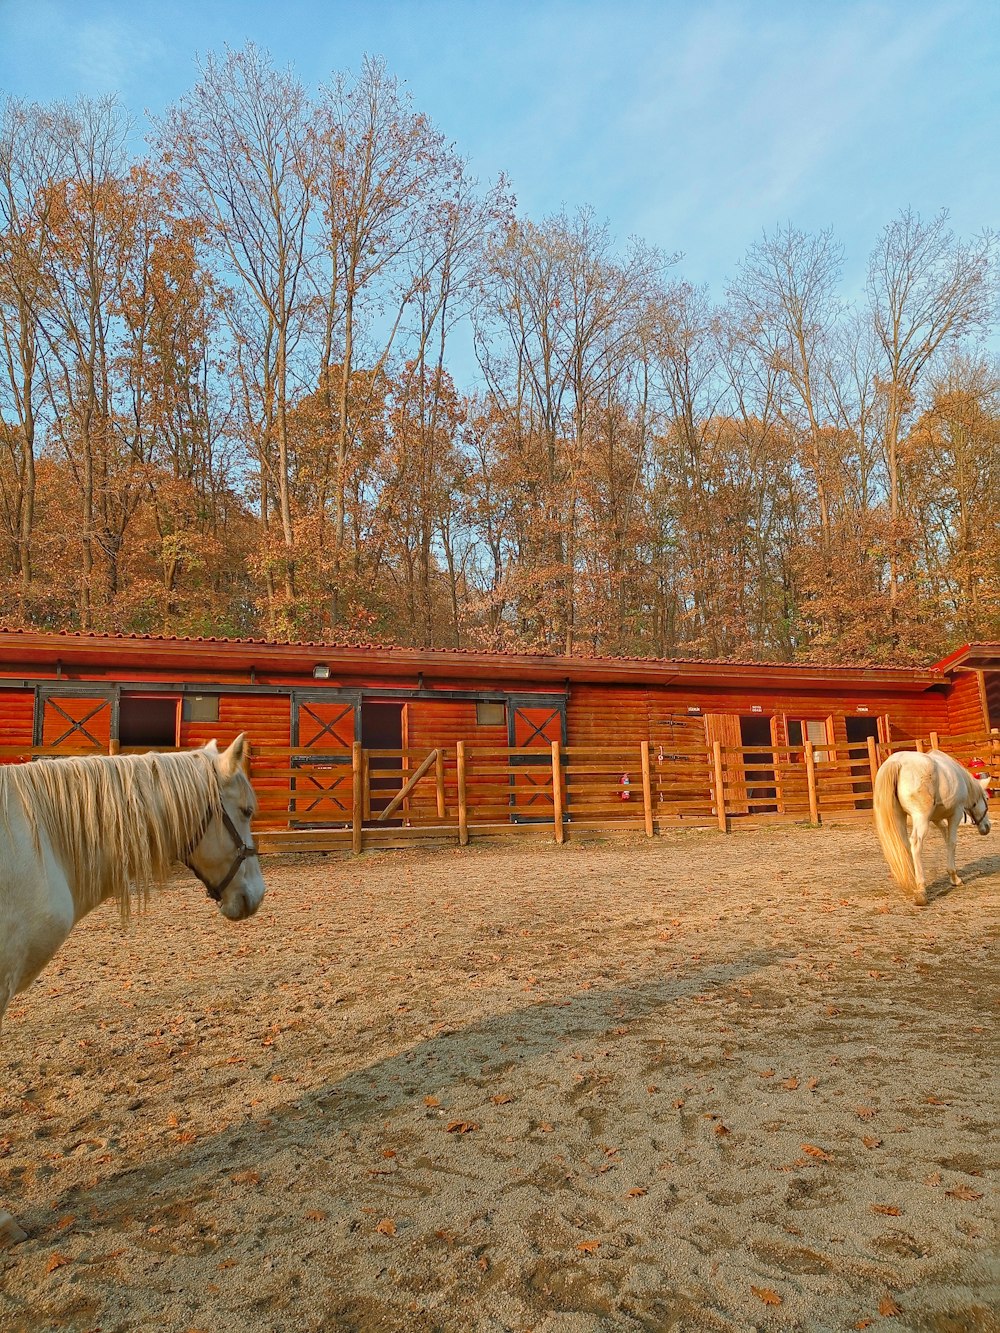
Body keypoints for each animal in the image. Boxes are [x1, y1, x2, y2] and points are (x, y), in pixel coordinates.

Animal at [874, 751, 992, 906]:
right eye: (986, 798)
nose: (987, 827)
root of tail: (896, 762)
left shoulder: (936, 818)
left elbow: (946, 838)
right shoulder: (956, 814)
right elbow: (952, 842)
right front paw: (955, 878)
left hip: (899, 817)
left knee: (905, 845)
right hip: (920, 818)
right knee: (916, 844)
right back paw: (921, 890)